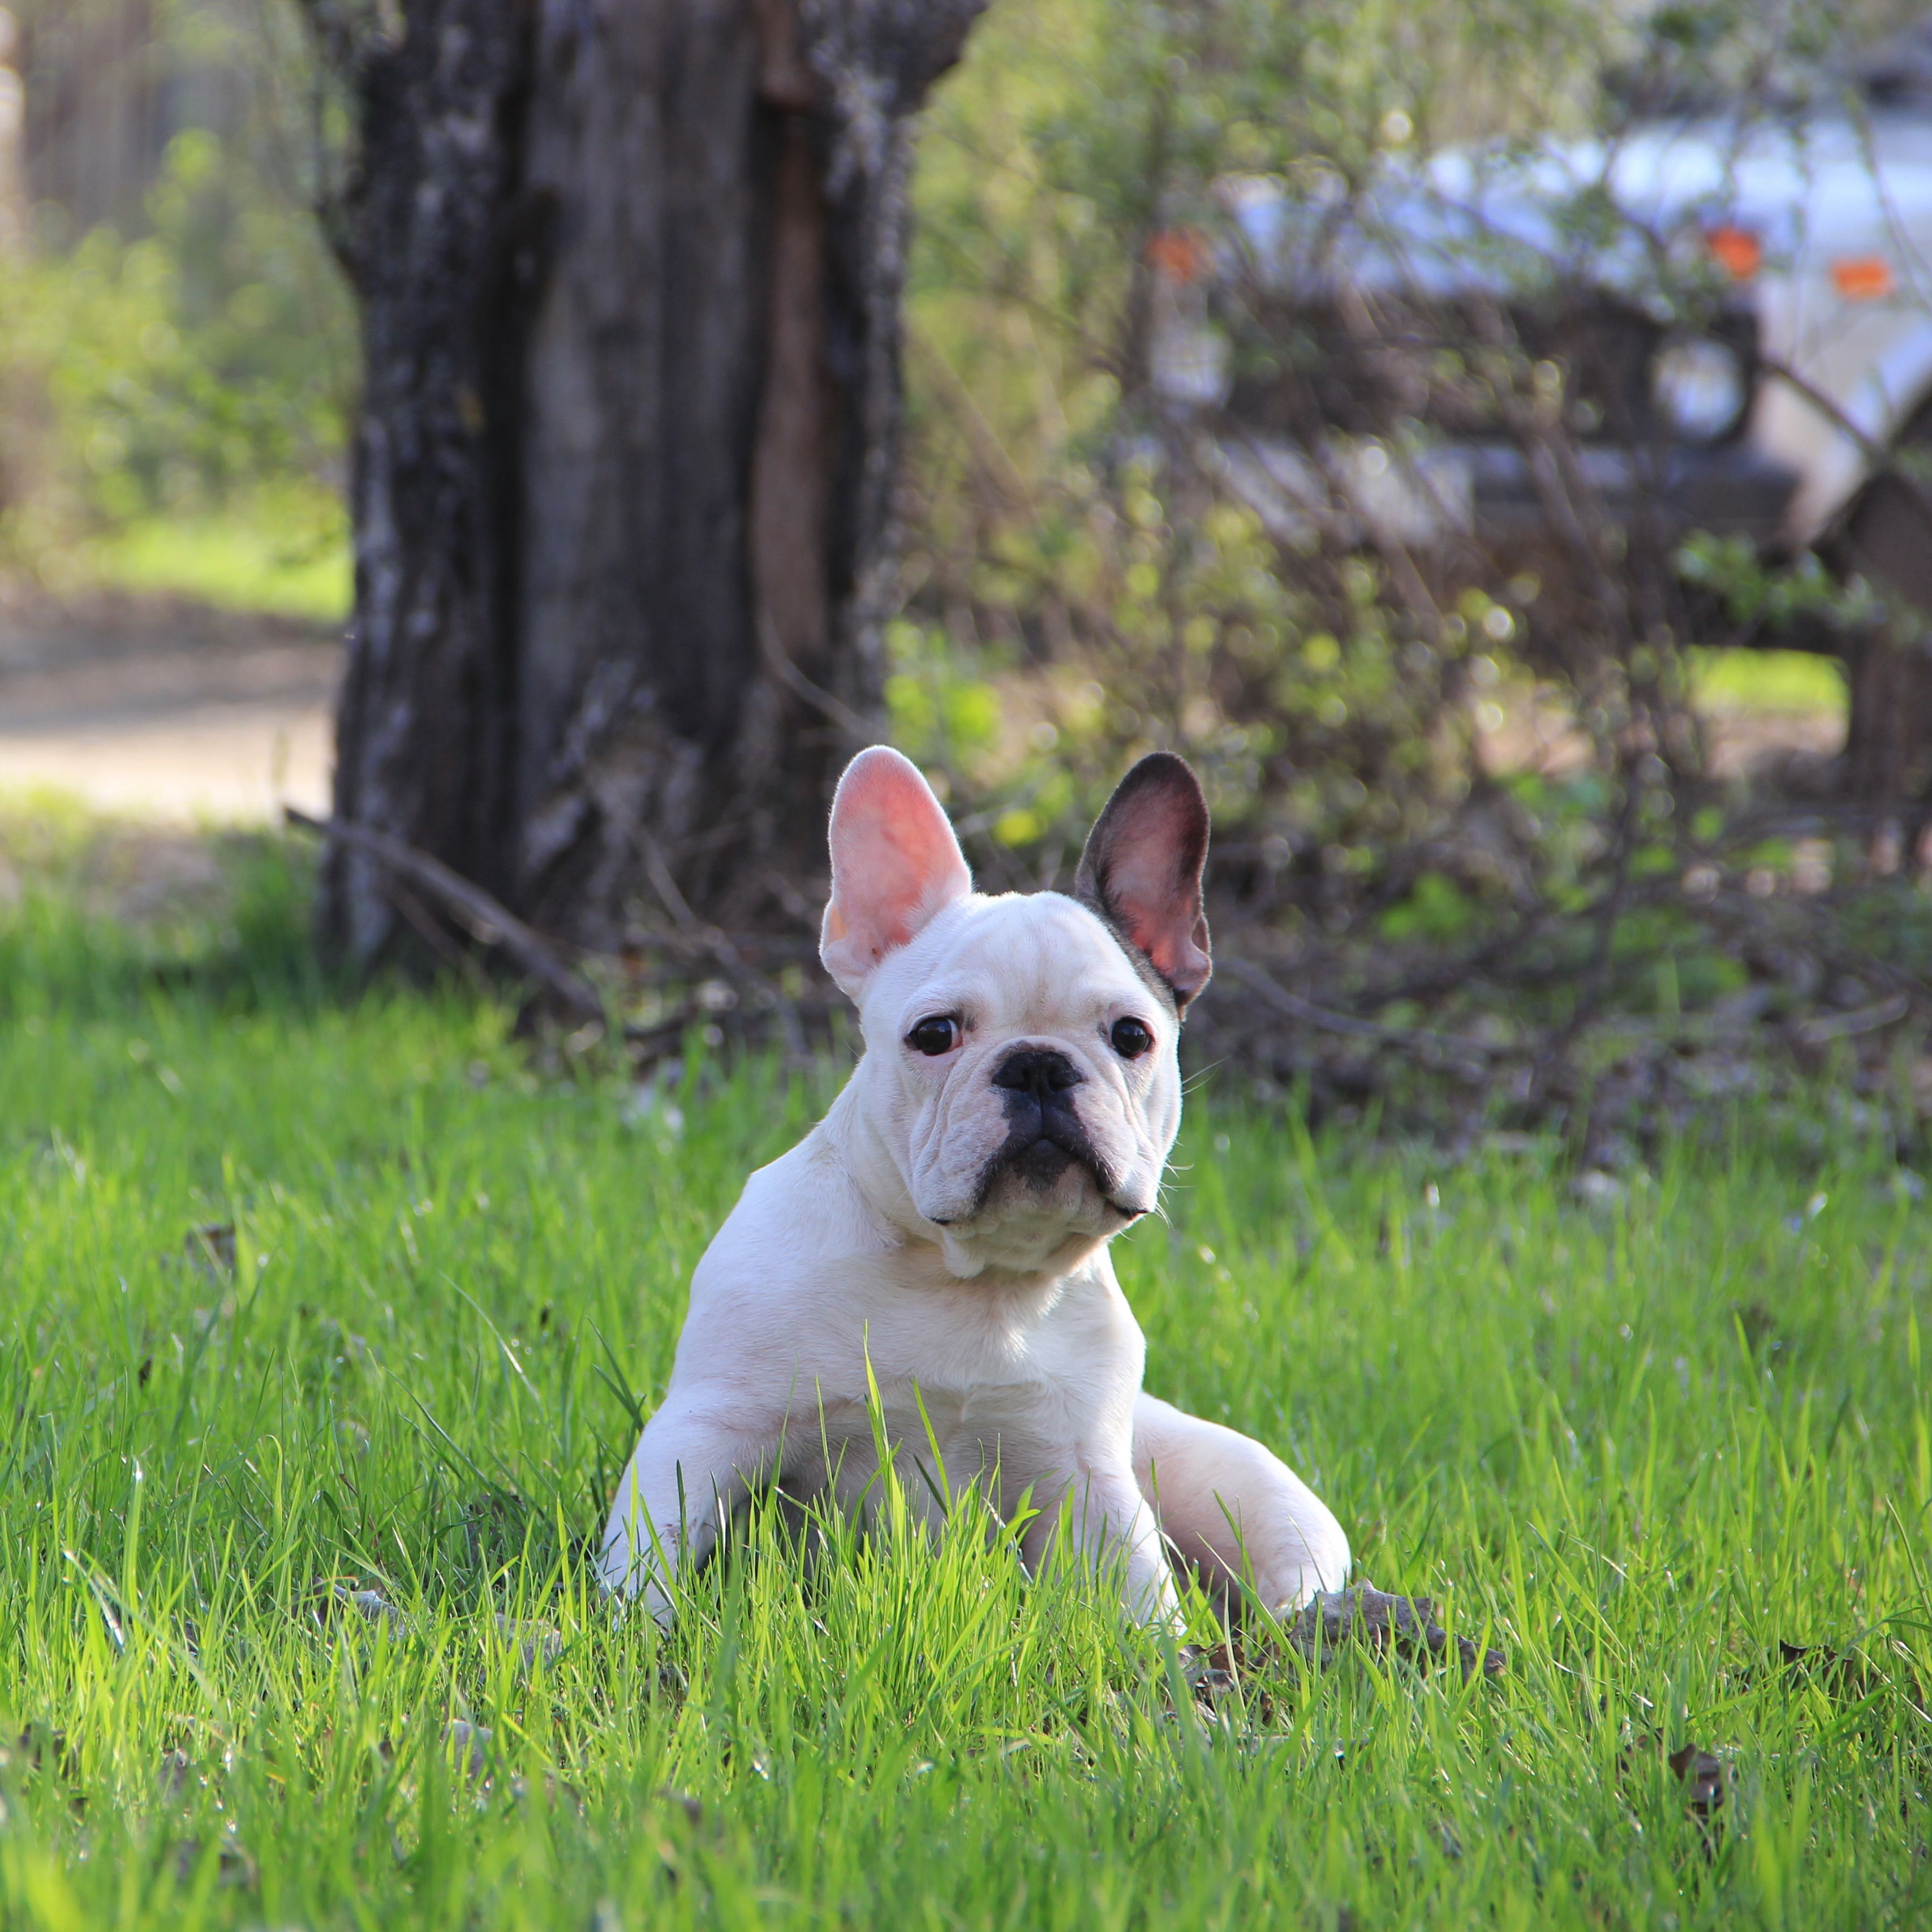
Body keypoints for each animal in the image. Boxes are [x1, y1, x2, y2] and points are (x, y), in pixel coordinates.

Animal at [599, 746, 1344, 1623]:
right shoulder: (707, 1427)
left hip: (1255, 1492)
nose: (1037, 1064)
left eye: (1132, 1035)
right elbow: (650, 1554)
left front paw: (1165, 1654)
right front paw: (631, 1632)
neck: (970, 1276)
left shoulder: (1088, 1478)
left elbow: (1136, 1595)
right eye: (934, 1035)